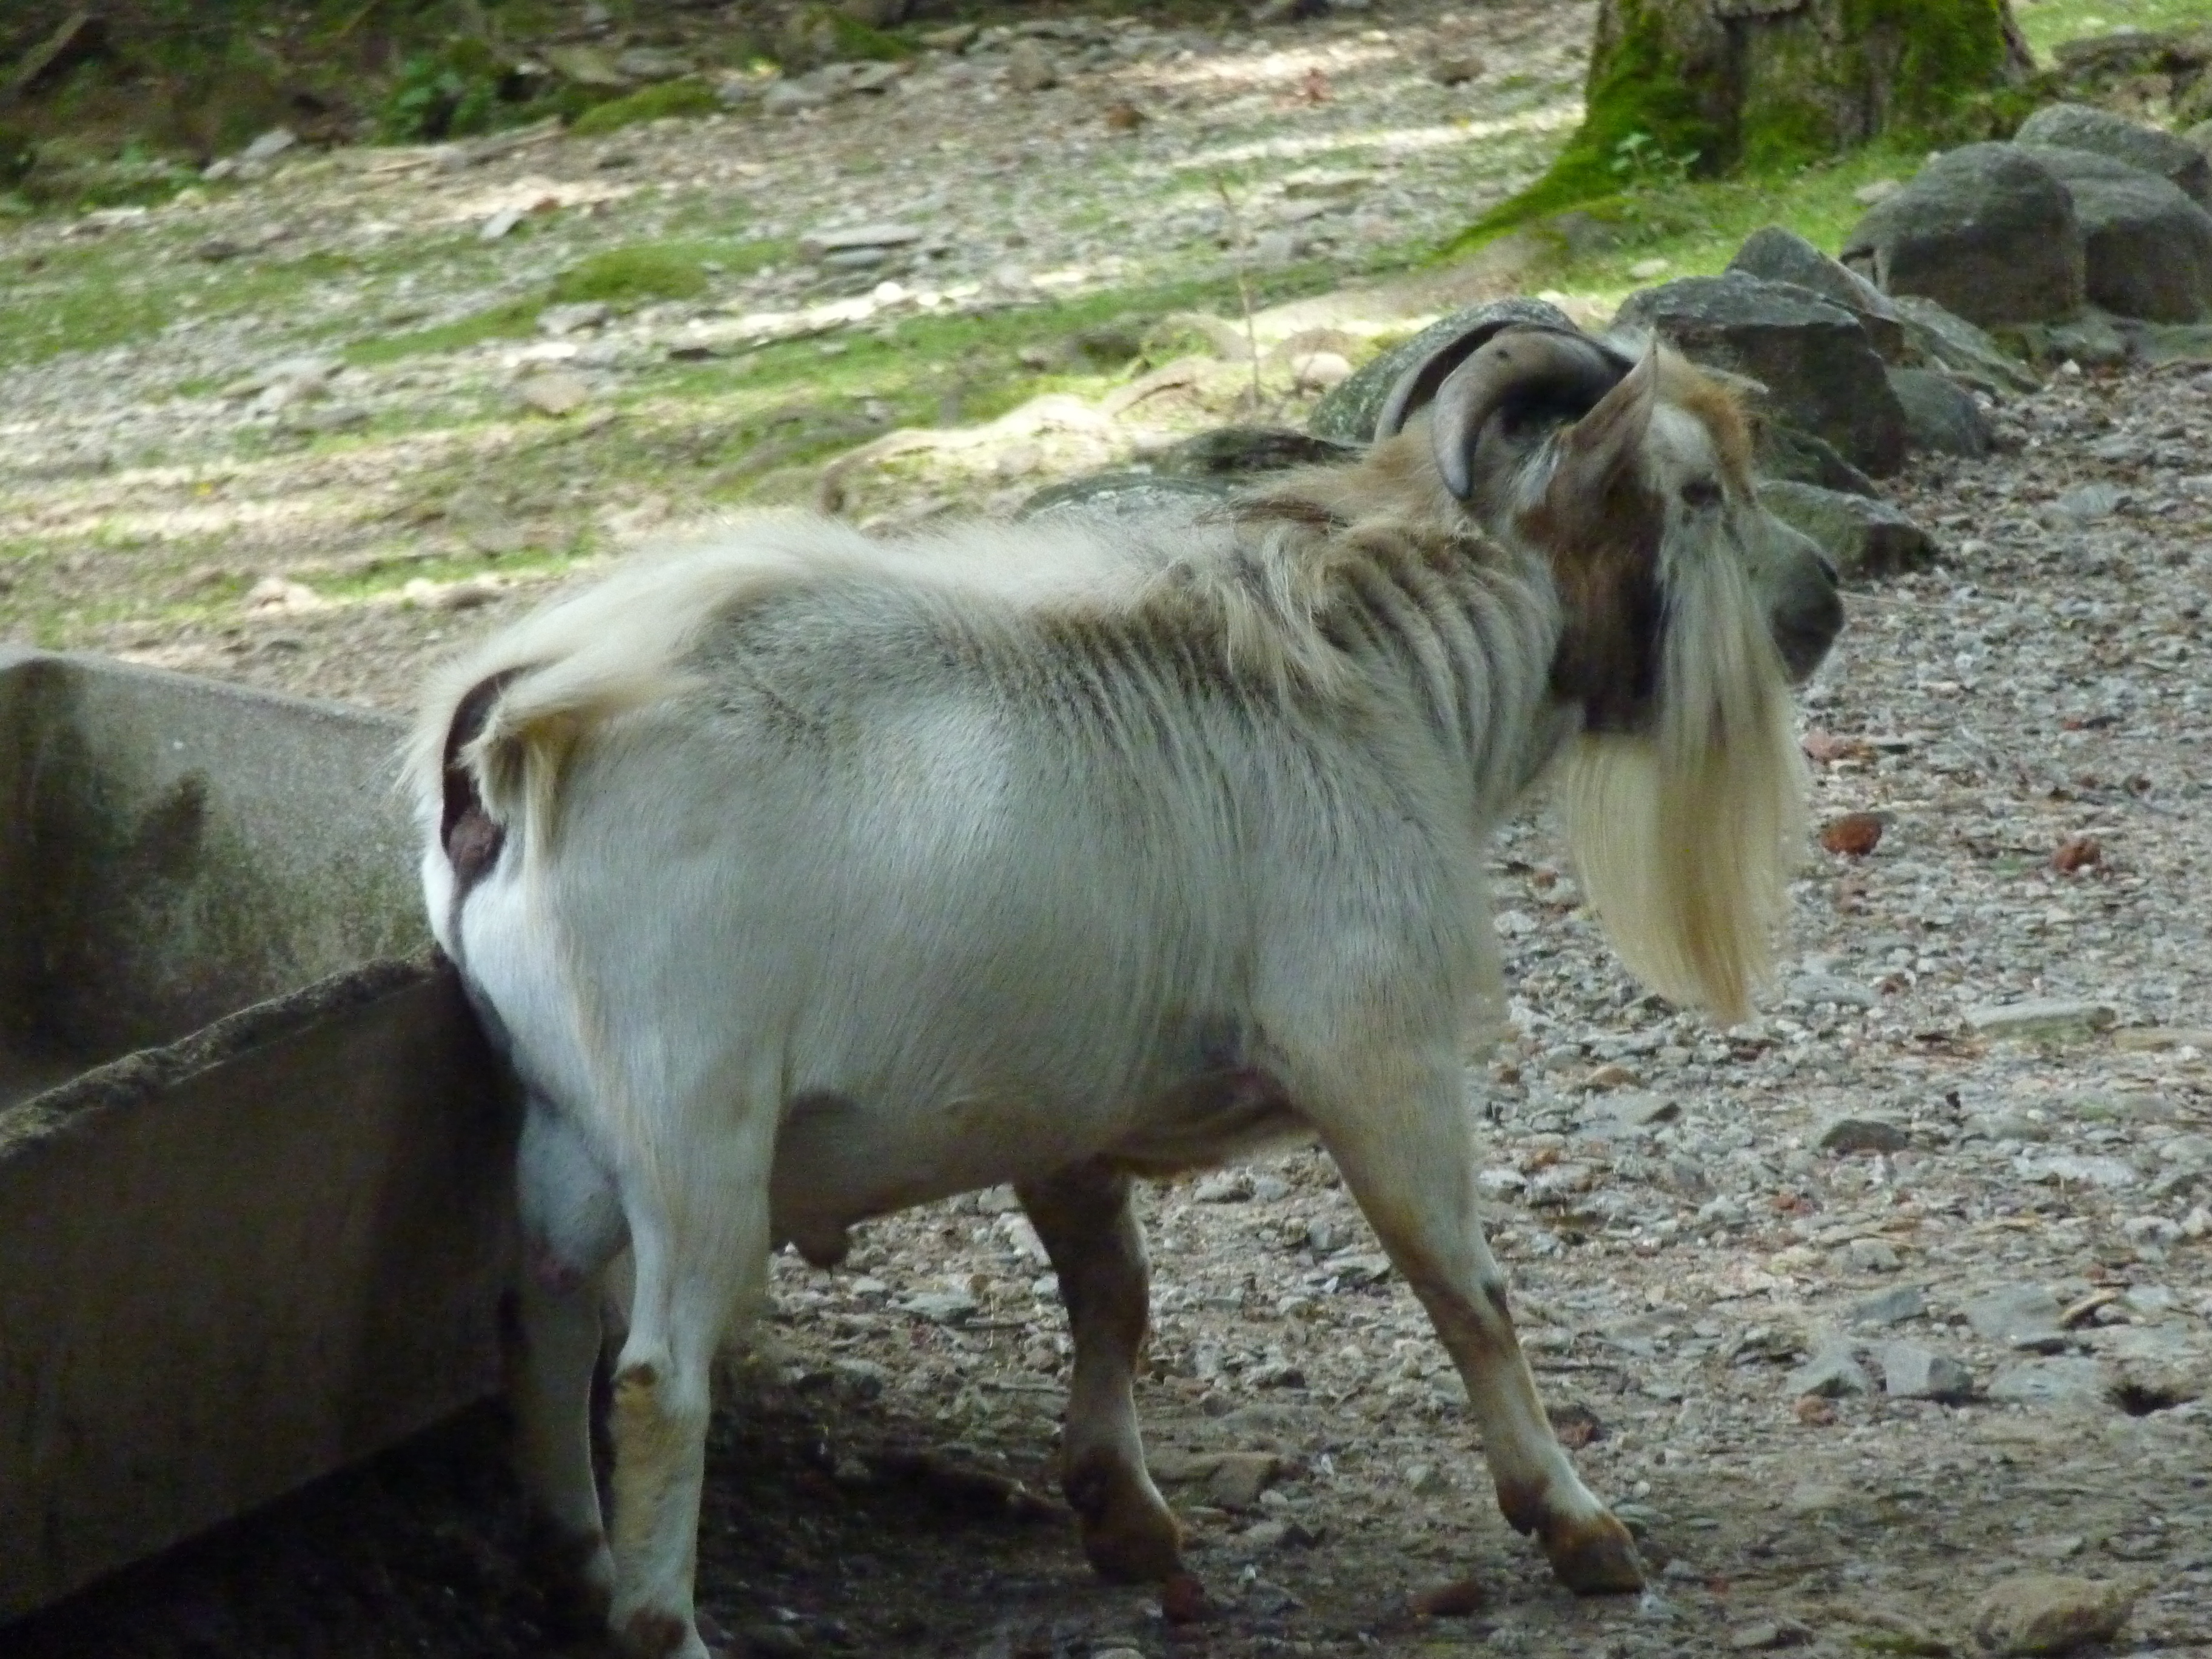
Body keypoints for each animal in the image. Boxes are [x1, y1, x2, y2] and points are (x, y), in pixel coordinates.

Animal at [407, 318, 1840, 1654]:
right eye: (1696, 490)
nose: (1821, 598)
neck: (1376, 667)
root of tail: (508, 743)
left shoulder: (1061, 1108)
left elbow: (1113, 1290)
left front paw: (1125, 1515)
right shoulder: (1374, 1051)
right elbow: (1463, 1289)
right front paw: (1576, 1523)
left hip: (564, 1126)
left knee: (543, 1320)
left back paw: (576, 1565)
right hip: (691, 1133)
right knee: (656, 1378)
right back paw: (662, 1619)